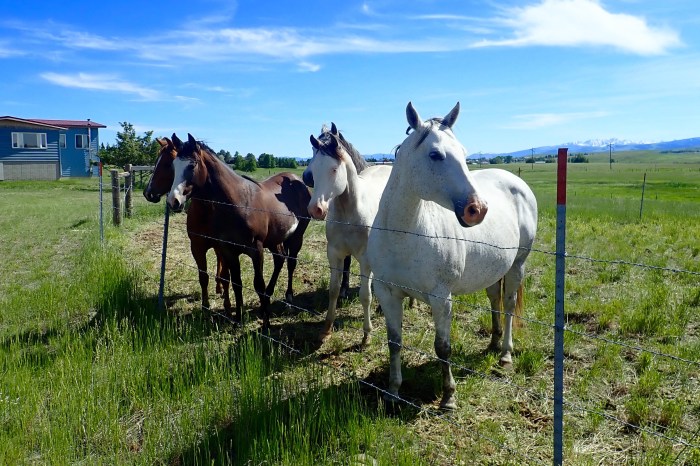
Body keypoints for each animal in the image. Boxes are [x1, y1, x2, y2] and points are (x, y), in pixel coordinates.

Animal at [143, 137, 230, 304]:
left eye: (166, 164)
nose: (148, 193)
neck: (207, 210)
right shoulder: (196, 247)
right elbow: (203, 277)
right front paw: (205, 305)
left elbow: (224, 274)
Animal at [166, 133, 311, 329]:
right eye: (173, 166)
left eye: (192, 165)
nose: (173, 201)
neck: (239, 203)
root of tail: (297, 180)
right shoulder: (228, 251)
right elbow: (236, 283)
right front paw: (238, 319)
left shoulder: (256, 250)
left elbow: (258, 284)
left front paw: (266, 324)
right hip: (275, 239)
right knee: (280, 259)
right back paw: (268, 297)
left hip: (296, 237)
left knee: (291, 263)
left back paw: (288, 298)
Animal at [303, 123, 392, 345]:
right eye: (314, 169)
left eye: (334, 169)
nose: (315, 209)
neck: (349, 212)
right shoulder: (334, 254)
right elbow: (334, 290)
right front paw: (326, 329)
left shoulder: (365, 259)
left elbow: (365, 295)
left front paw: (366, 334)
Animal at [367, 102, 538, 410]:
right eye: (435, 154)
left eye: (464, 153)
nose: (477, 209)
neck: (403, 235)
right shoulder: (387, 292)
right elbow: (394, 342)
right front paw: (393, 392)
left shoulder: (441, 298)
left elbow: (442, 347)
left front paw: (448, 397)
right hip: (493, 269)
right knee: (494, 299)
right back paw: (493, 343)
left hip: (517, 265)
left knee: (508, 305)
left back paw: (505, 353)